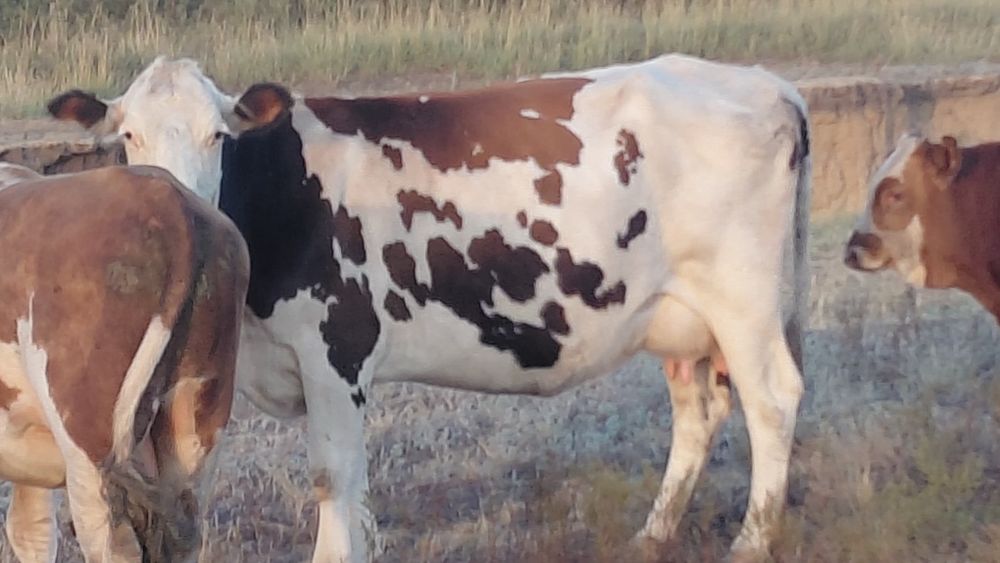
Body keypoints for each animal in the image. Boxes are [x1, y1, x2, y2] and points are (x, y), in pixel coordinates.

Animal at [0, 162, 249, 562]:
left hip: (89, 445)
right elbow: (31, 532)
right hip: (198, 426)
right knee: (183, 530)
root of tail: (164, 196)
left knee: (114, 545)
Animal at [48, 54, 812, 562]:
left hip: (743, 296)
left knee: (772, 399)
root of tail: (767, 83)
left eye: (219, 135)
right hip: (681, 316)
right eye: (129, 135)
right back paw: (654, 532)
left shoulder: (338, 351)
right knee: (699, 408)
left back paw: (751, 541)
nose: (183, 199)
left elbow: (334, 481)